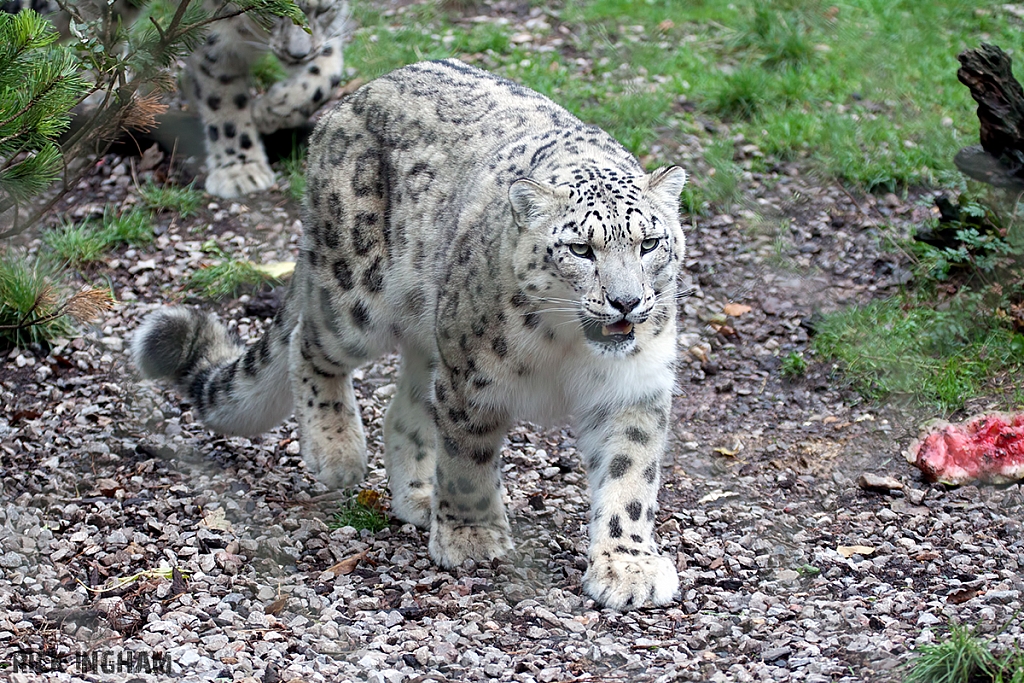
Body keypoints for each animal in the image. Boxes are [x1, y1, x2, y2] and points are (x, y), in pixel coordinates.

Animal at [130, 58, 688, 610]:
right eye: (580, 249)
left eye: (650, 242)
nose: (626, 301)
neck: (567, 348)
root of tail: (355, 97)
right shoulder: (472, 379)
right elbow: (467, 461)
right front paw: (471, 537)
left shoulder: (633, 390)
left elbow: (630, 477)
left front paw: (629, 566)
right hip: (355, 298)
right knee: (307, 345)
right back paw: (337, 450)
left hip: (429, 335)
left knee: (404, 410)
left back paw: (418, 497)